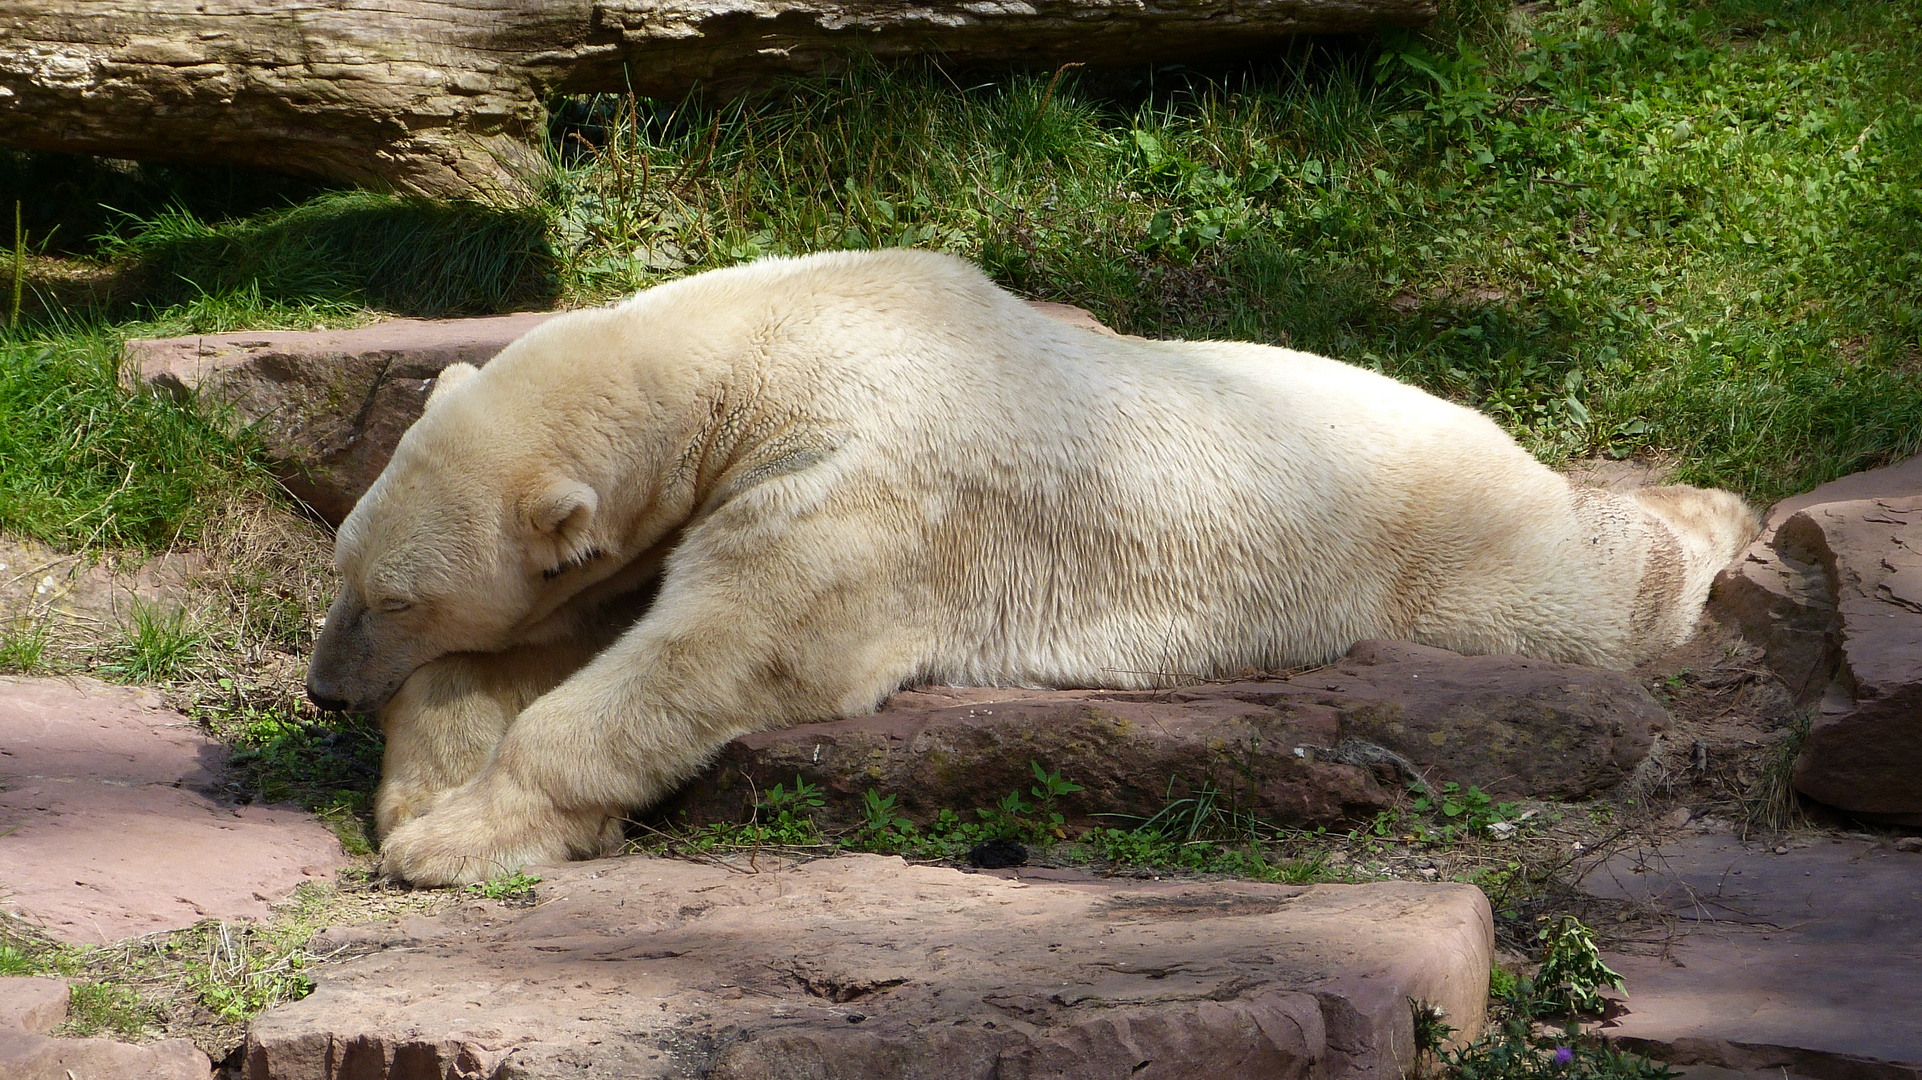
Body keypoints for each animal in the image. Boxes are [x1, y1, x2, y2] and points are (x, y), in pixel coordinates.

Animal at [307, 247, 1760, 880]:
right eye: (345, 573)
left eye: (392, 597)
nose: (322, 688)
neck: (757, 344)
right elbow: (594, 619)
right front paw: (423, 779)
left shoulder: (864, 486)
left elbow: (724, 647)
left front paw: (454, 834)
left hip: (1435, 539)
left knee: (1581, 595)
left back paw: (1713, 509)